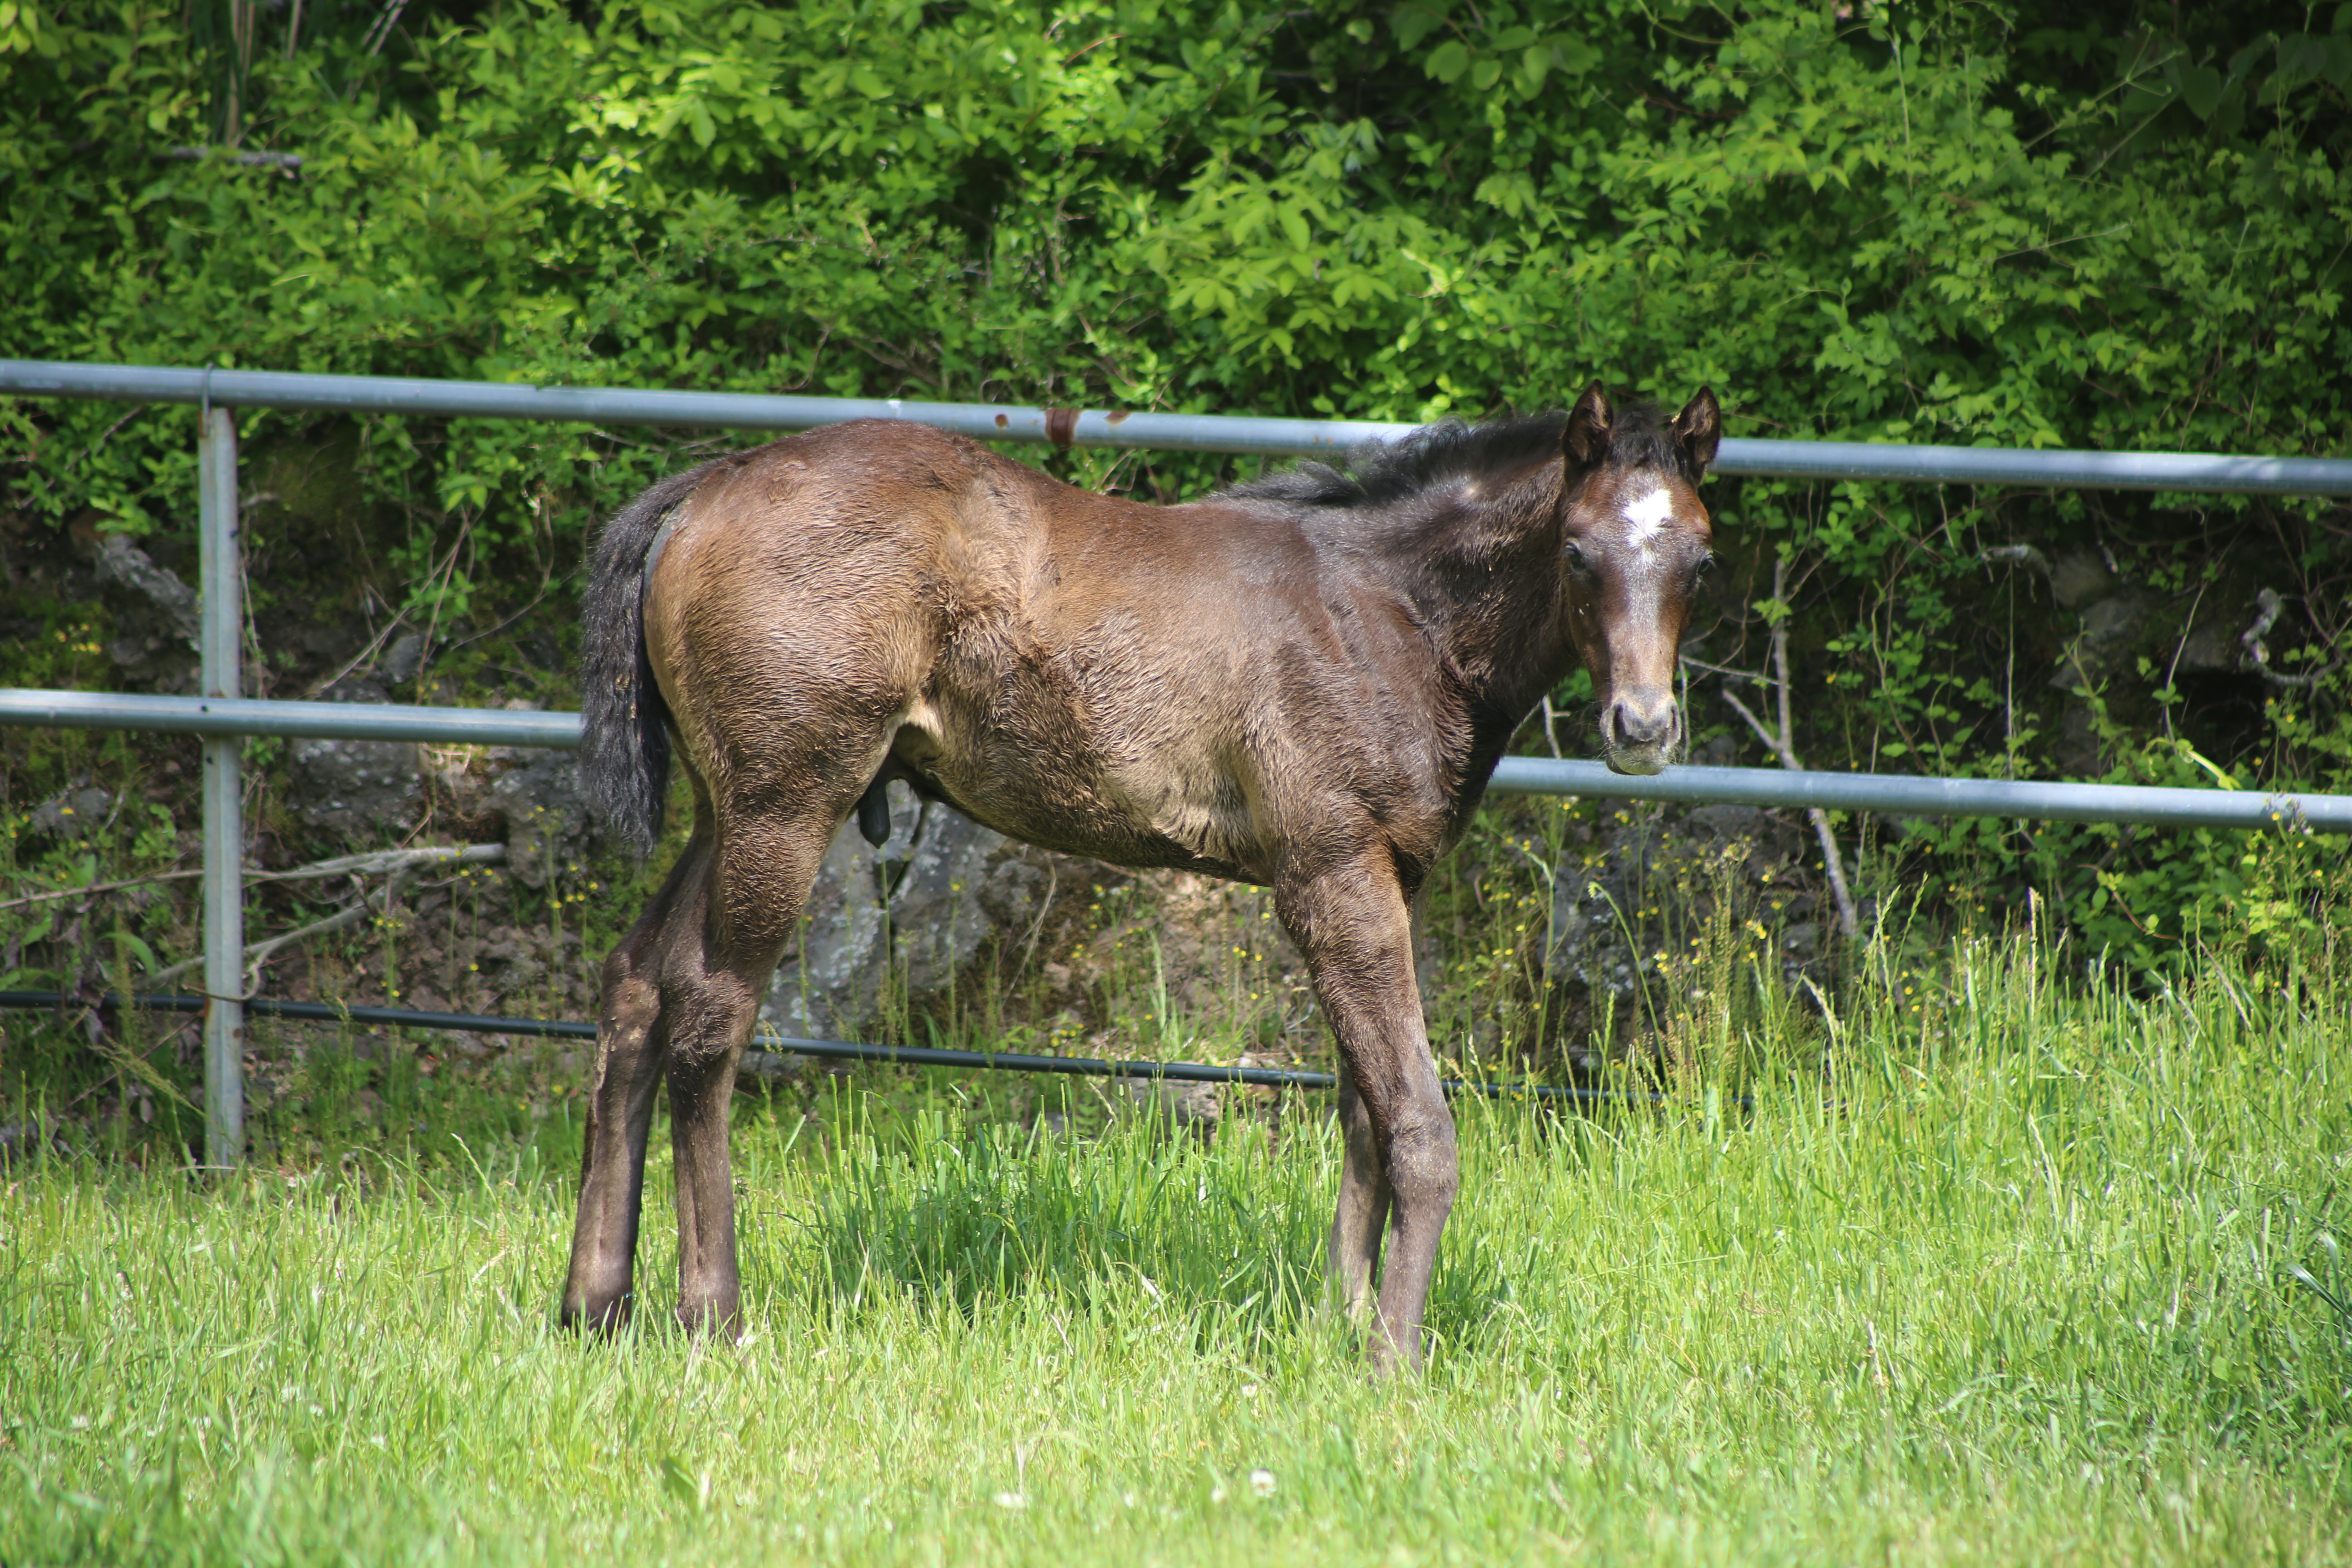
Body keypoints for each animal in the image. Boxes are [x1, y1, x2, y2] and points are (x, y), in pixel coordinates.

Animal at [559, 381, 1722, 1373]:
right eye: (1577, 553)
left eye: (1700, 559)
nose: (1643, 727)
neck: (1391, 612)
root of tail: (706, 485)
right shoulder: (1330, 873)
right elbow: (1419, 1125)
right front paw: (1391, 1356)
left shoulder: (1390, 876)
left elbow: (1362, 1113)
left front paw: (1339, 1325)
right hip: (785, 804)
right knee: (710, 1017)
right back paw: (712, 1317)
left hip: (724, 811)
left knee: (636, 984)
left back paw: (593, 1304)